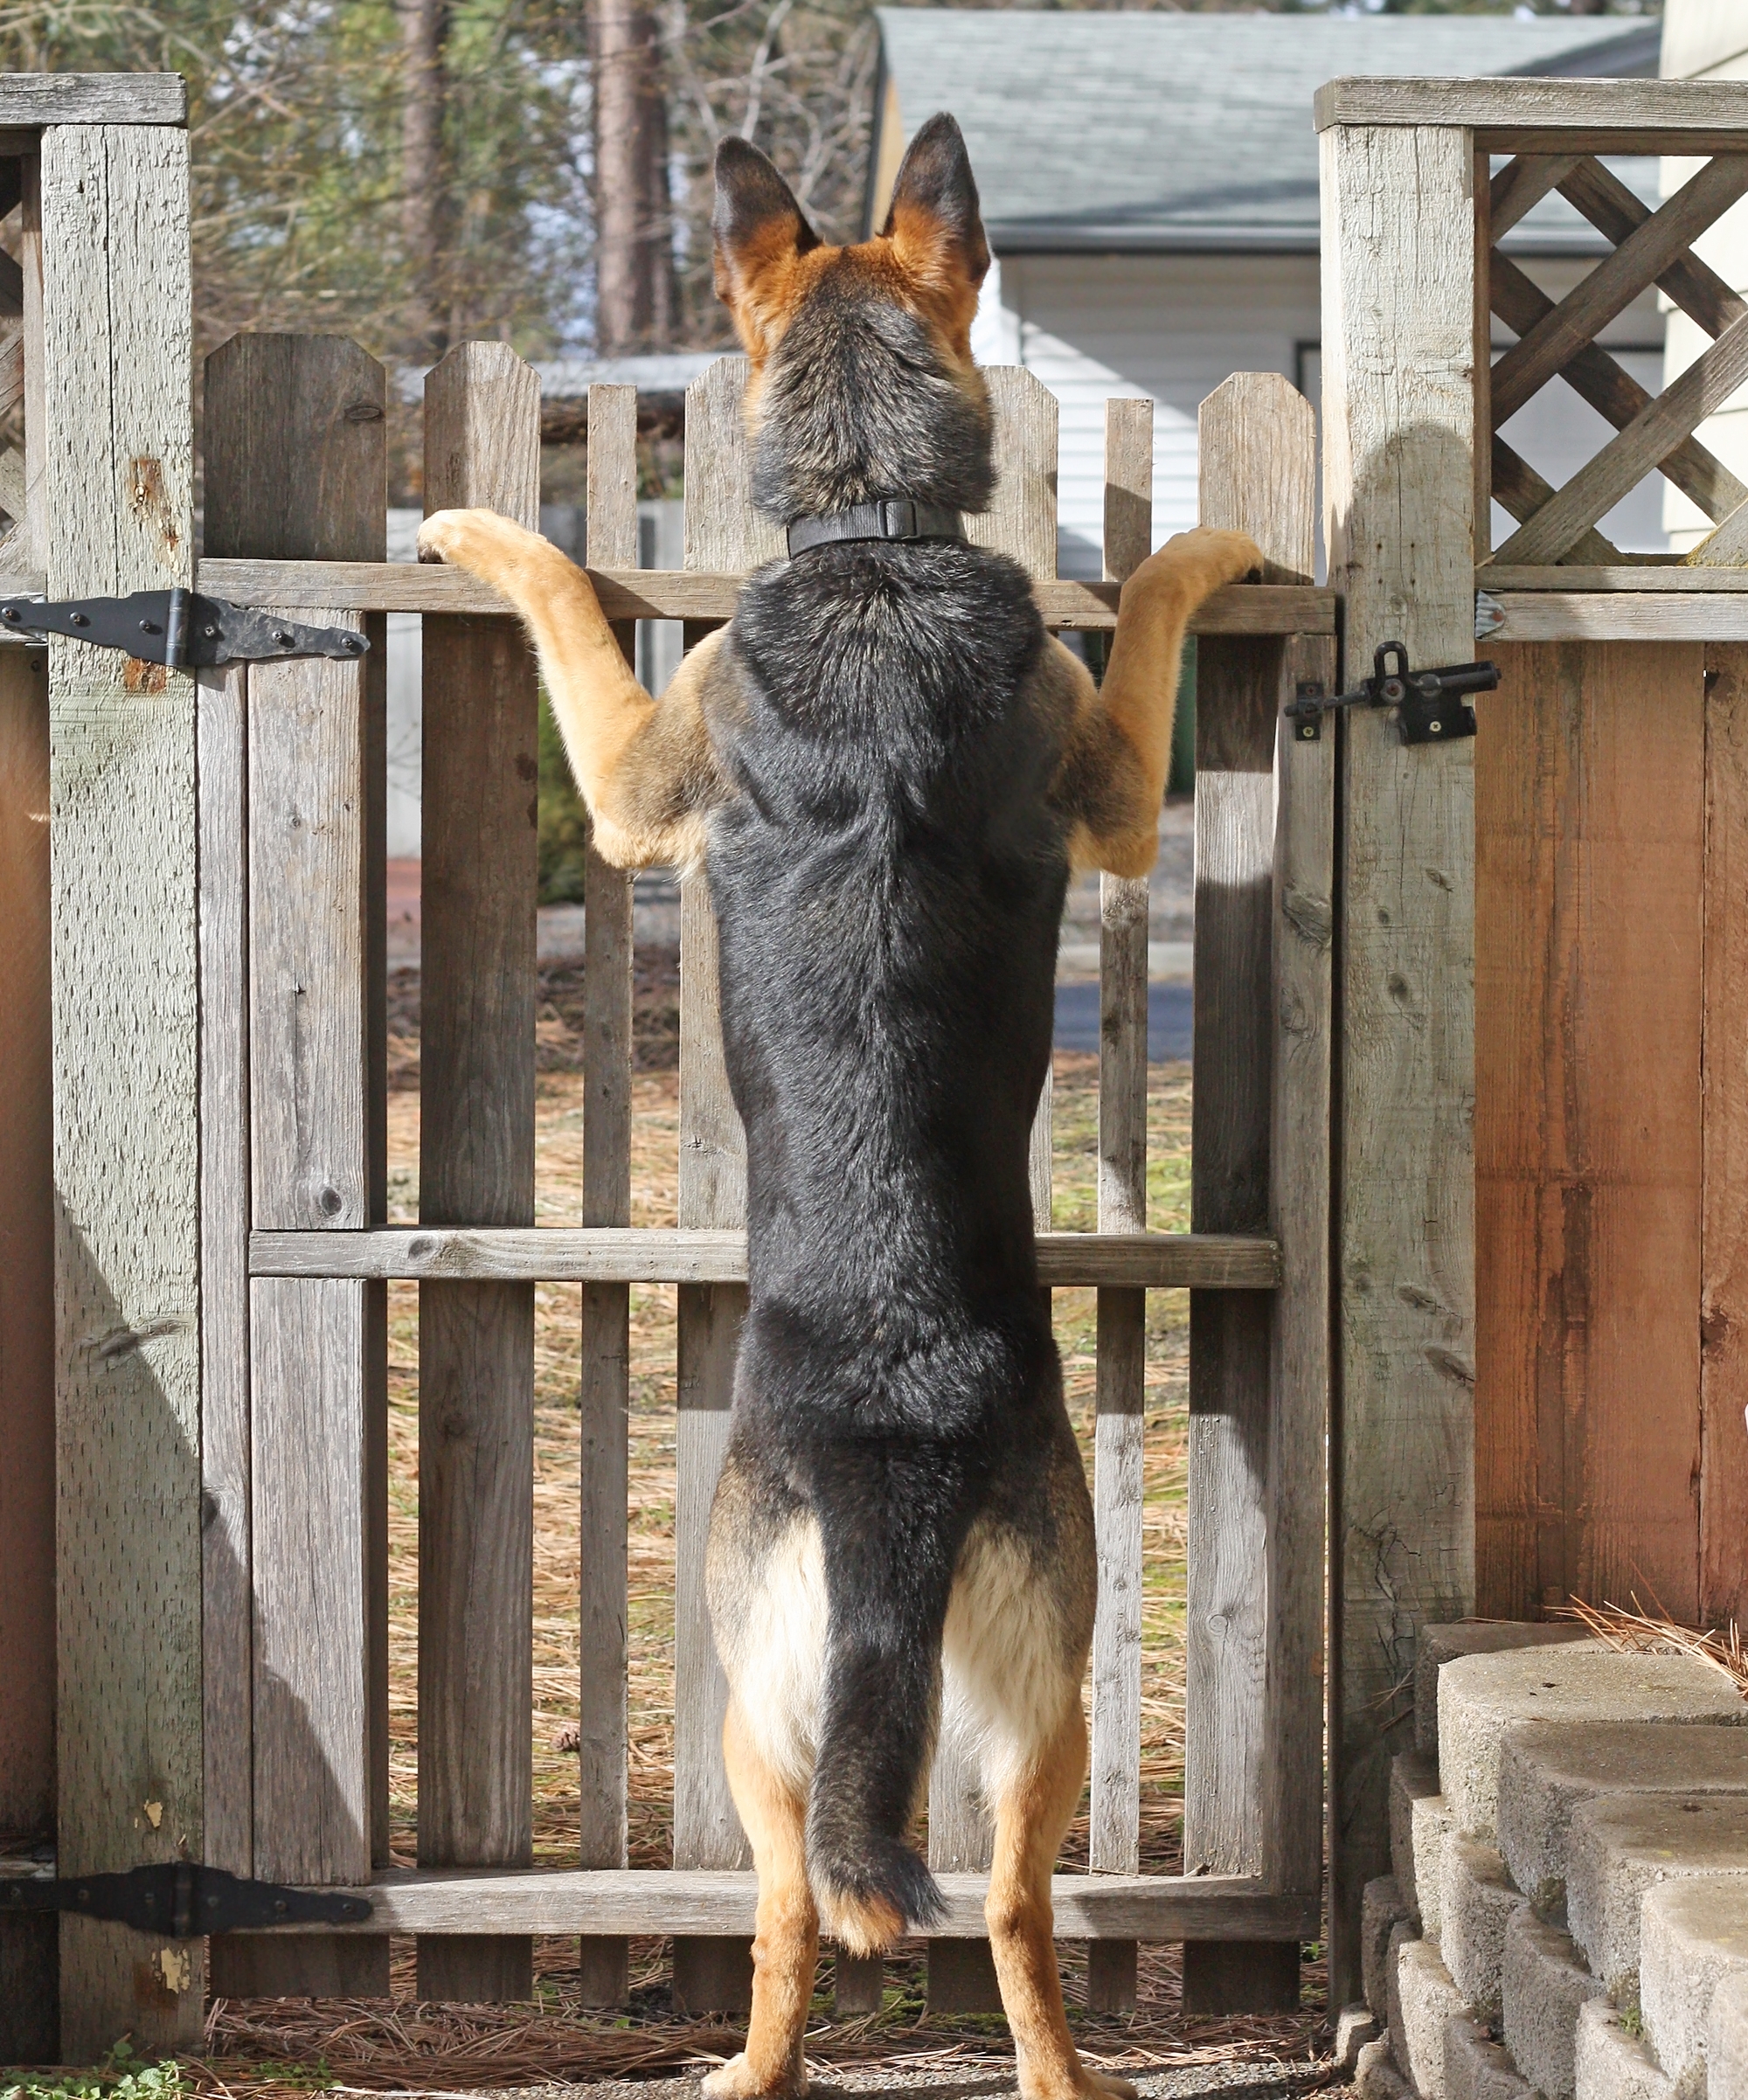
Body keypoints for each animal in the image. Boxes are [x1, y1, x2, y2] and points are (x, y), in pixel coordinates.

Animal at [418, 114, 1260, 2100]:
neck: (873, 524)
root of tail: (898, 1447)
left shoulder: (642, 774)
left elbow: (565, 591)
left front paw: (481, 528)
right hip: (1047, 1703)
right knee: (1015, 1905)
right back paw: (1059, 2076)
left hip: (751, 1713)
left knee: (796, 1903)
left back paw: (752, 2066)